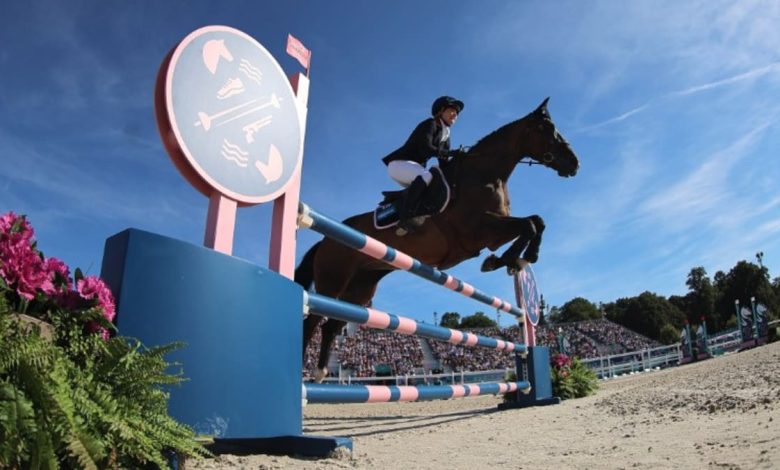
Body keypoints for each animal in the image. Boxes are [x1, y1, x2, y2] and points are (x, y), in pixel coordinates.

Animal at [298, 97, 580, 380]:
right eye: (546, 129)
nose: (574, 164)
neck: (485, 174)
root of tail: (325, 241)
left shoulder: (491, 232)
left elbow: (536, 221)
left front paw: (518, 259)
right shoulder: (479, 230)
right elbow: (529, 225)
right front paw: (506, 260)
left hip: (360, 288)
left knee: (332, 325)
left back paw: (320, 371)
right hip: (334, 279)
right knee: (312, 319)